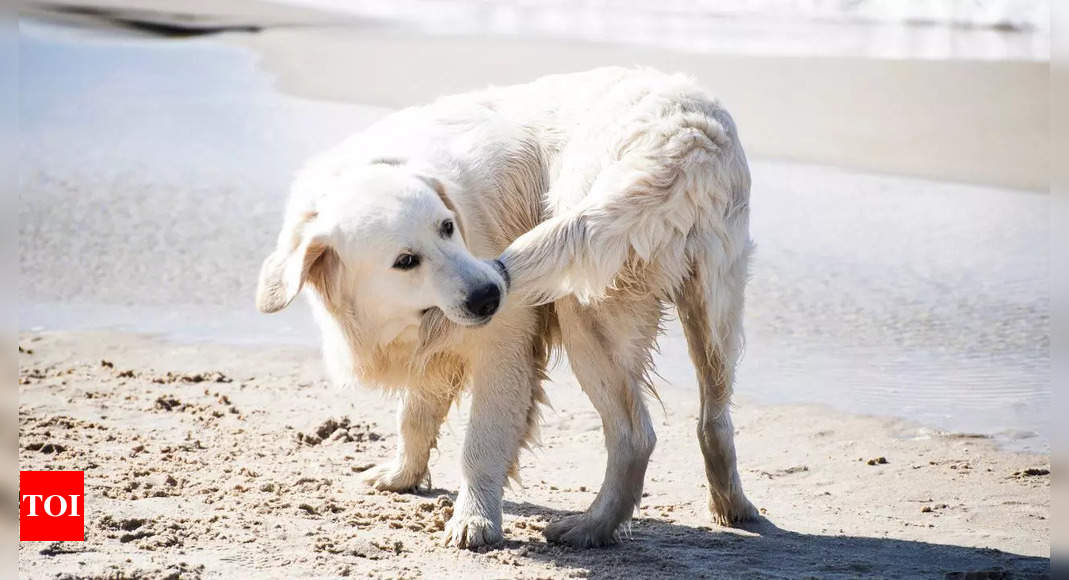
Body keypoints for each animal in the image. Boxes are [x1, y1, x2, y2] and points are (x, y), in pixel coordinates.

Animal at [256, 67, 761, 551]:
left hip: (586, 310)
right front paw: (401, 475)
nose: (489, 295)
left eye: (447, 227)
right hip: (714, 309)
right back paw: (732, 507)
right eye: (405, 261)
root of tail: (686, 137)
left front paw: (474, 520)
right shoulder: (431, 349)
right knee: (714, 419)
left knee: (635, 435)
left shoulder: (504, 346)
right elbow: (414, 415)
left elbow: (480, 443)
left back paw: (591, 528)